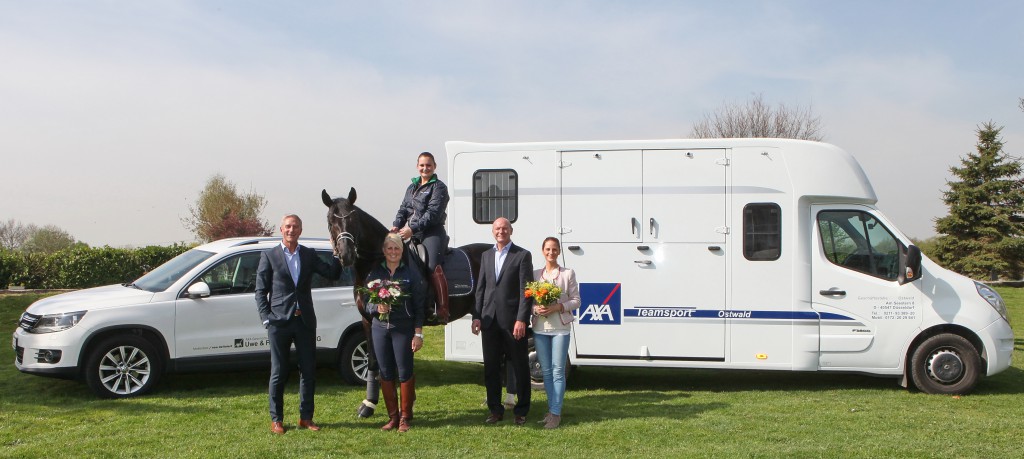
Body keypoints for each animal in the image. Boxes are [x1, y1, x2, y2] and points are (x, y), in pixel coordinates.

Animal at [323, 188, 491, 418]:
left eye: (354, 219)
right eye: (330, 220)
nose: (346, 254)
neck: (379, 262)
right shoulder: (368, 321)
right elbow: (374, 362)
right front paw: (370, 404)